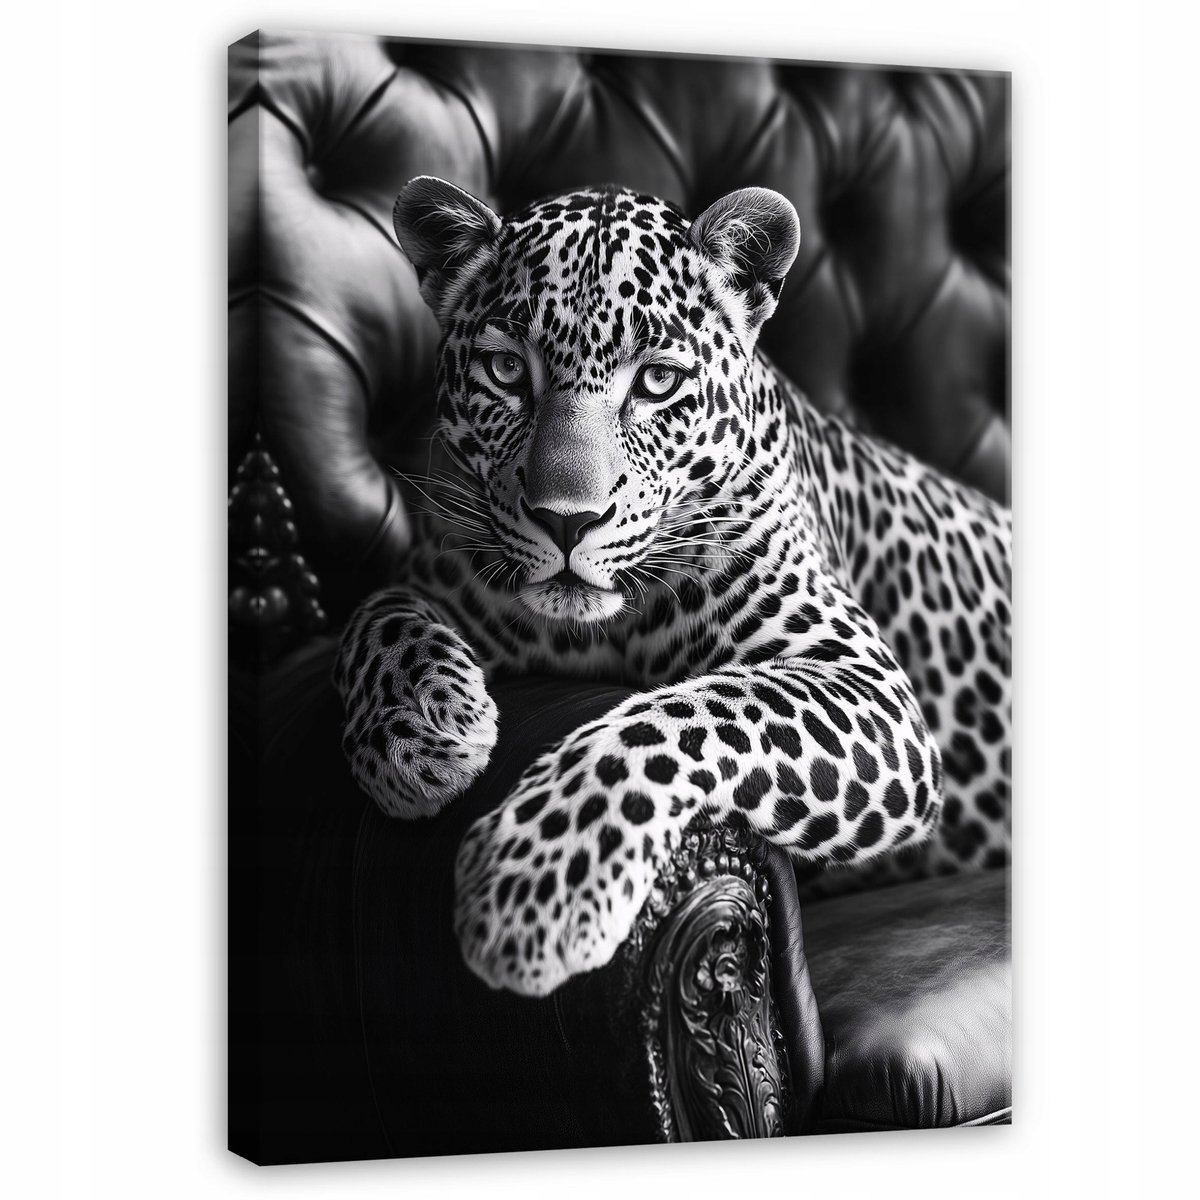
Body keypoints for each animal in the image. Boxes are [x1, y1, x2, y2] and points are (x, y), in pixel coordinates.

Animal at [333, 176, 1012, 998]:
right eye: (507, 372)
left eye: (657, 381)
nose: (567, 520)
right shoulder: (437, 571)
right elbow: (375, 614)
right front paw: (422, 731)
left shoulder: (864, 681)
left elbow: (678, 717)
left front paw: (536, 887)